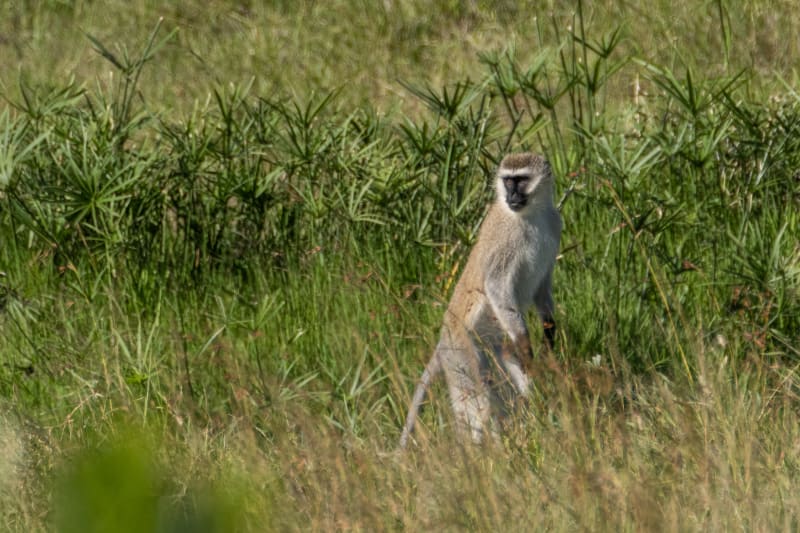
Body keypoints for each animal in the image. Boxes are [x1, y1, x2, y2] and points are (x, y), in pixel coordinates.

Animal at [400, 152, 564, 446]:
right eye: (507, 181)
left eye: (521, 180)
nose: (512, 196)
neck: (531, 214)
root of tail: (443, 340)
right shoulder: (504, 238)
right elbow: (496, 285)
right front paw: (524, 341)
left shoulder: (554, 223)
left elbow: (542, 287)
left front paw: (549, 331)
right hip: (461, 352)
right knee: (476, 404)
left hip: (492, 349)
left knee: (506, 391)